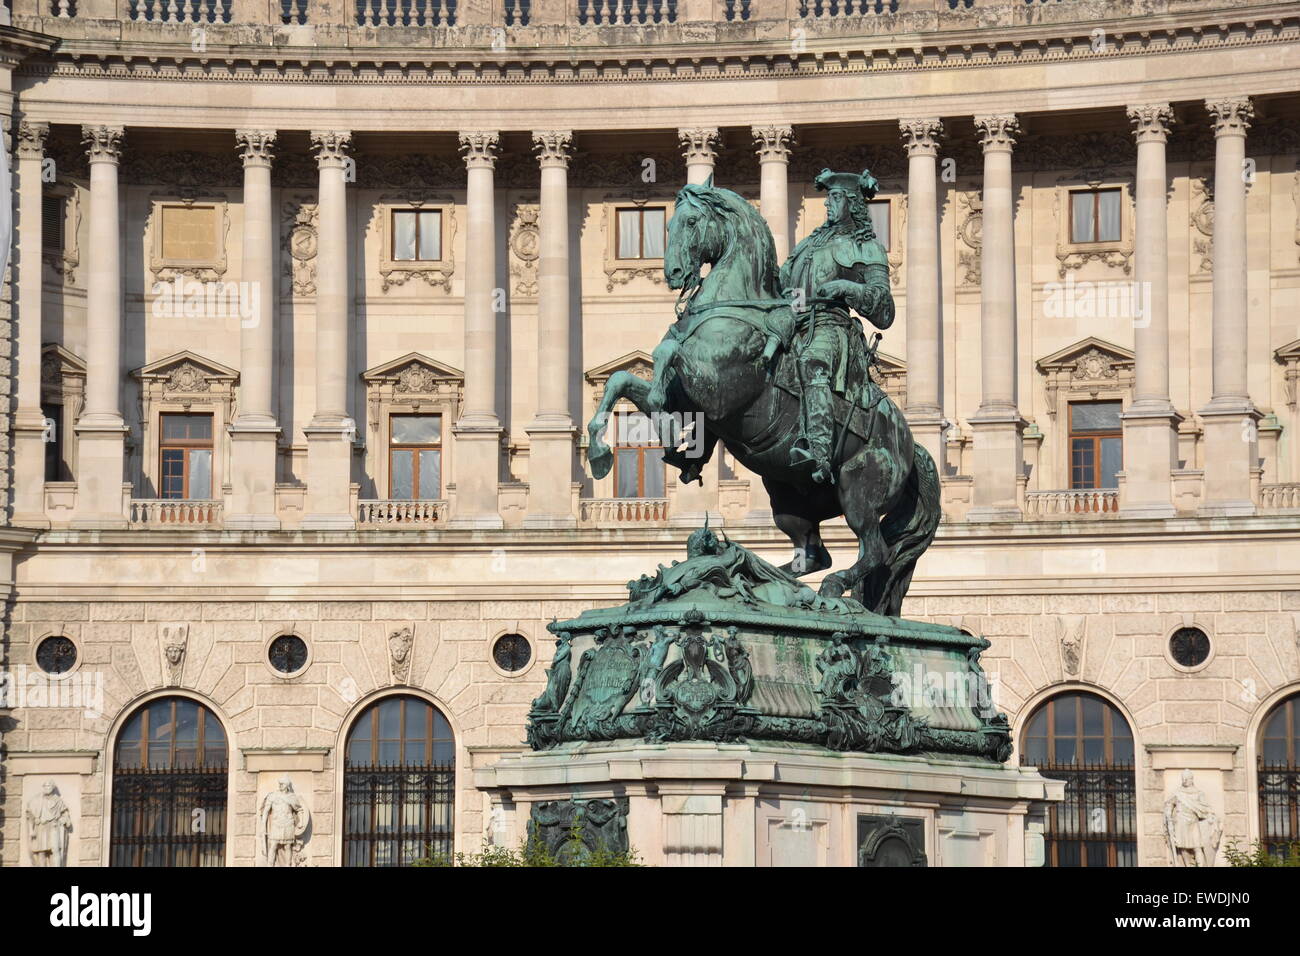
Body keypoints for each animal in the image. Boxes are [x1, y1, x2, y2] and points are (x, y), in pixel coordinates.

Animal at [585, 180, 941, 616]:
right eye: (666, 224)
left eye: (691, 221)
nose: (673, 274)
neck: (731, 308)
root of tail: (910, 443)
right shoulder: (685, 398)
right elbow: (621, 380)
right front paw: (601, 452)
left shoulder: (717, 391)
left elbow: (665, 355)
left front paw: (665, 429)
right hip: (787, 499)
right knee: (812, 556)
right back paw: (758, 574)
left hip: (857, 489)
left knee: (874, 551)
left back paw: (821, 586)